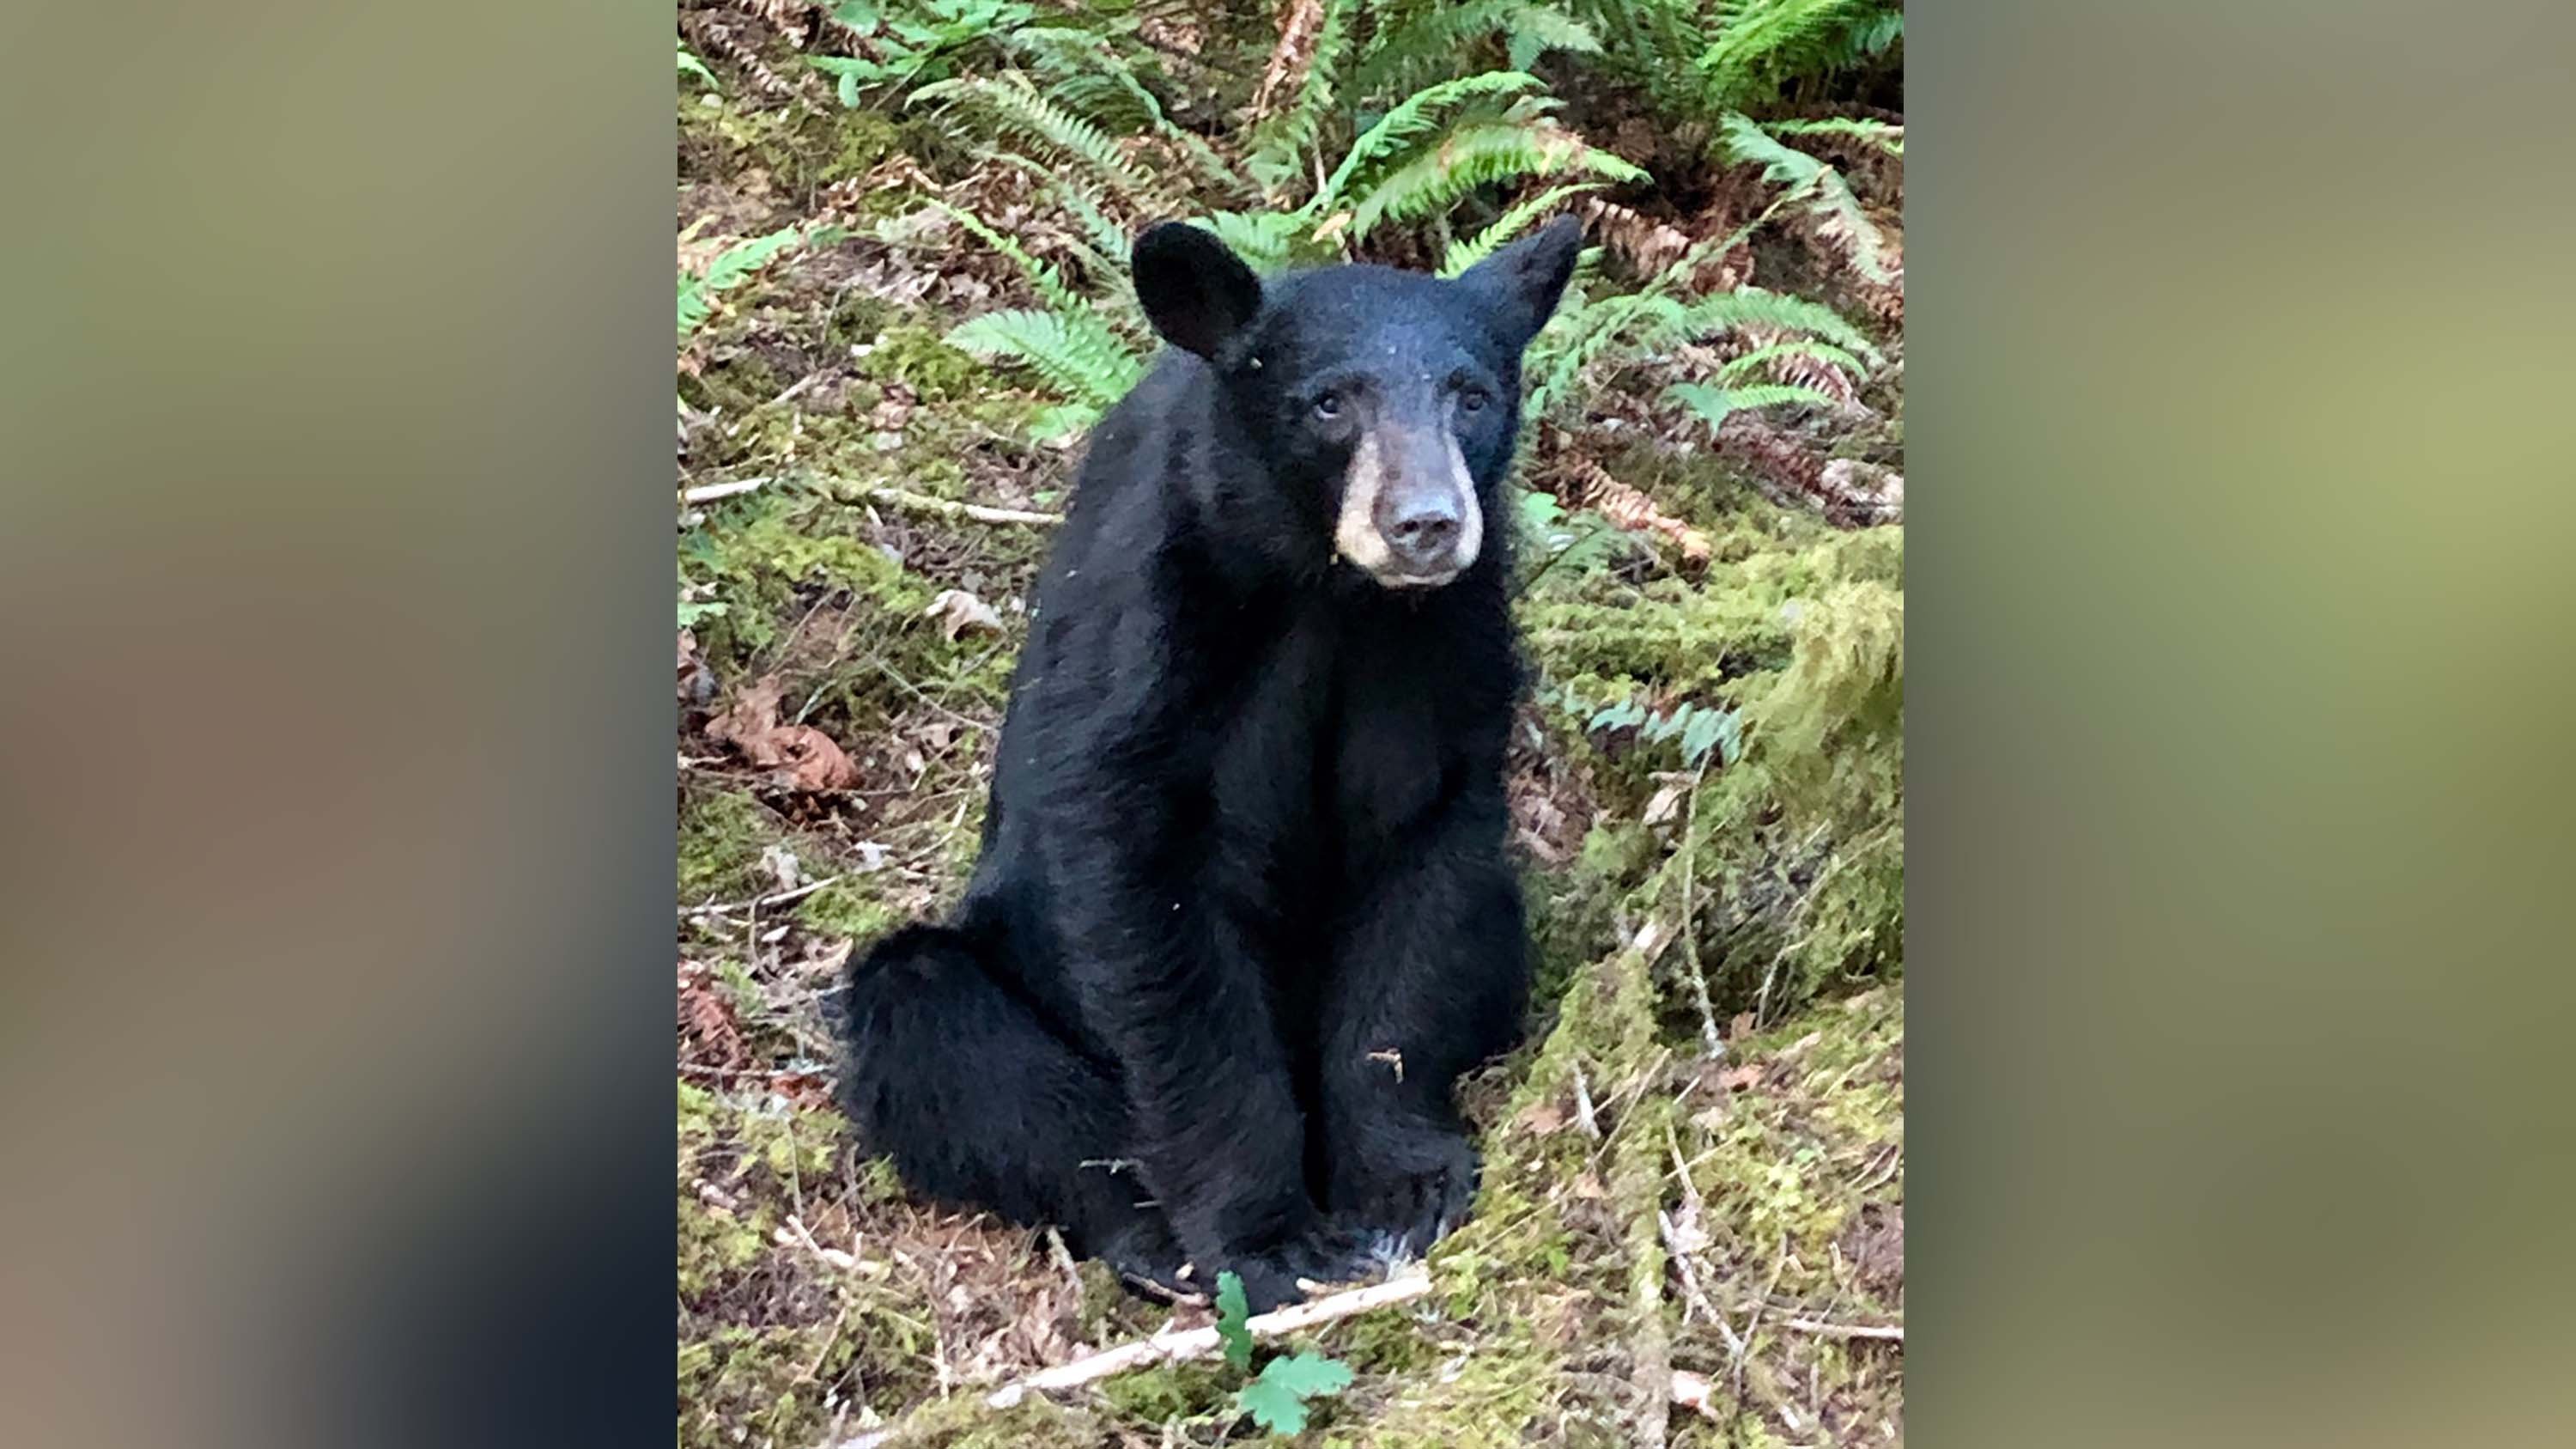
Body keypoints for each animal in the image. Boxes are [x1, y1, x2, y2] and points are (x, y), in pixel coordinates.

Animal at [838, 216, 1583, 1312]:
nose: (1427, 523)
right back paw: (1149, 1231)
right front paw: (1268, 1236)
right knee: (935, 1025)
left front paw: (1402, 1182)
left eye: (1473, 394)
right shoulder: (1155, 624)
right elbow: (1150, 902)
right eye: (1329, 401)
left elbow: (1423, 861)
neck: (1326, 591)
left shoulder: (1446, 642)